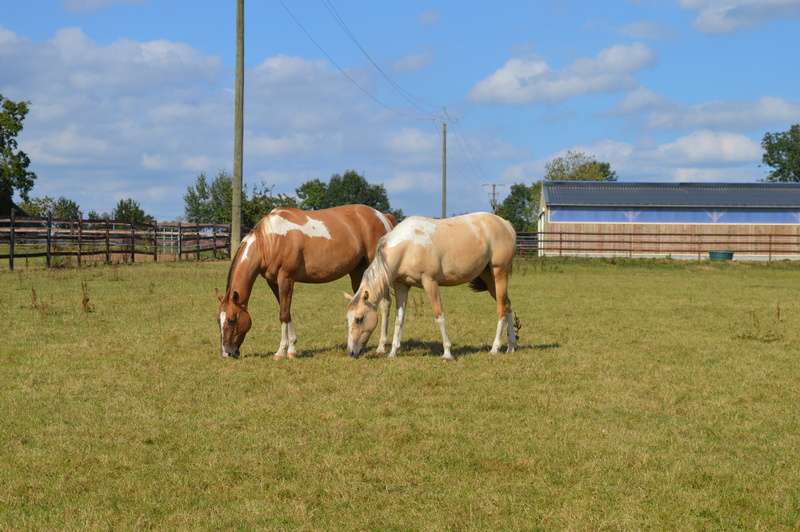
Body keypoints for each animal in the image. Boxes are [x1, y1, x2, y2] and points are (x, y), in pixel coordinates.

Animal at [216, 204, 396, 358]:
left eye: (232, 320)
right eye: (218, 320)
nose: (227, 353)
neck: (268, 240)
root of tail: (382, 216)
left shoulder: (286, 279)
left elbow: (283, 314)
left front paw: (281, 351)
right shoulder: (274, 283)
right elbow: (286, 312)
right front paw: (292, 349)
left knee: (385, 303)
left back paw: (381, 347)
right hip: (358, 271)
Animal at [346, 212, 520, 362]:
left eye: (359, 319)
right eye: (348, 319)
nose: (351, 352)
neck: (408, 246)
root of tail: (506, 224)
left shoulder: (430, 283)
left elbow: (439, 317)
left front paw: (447, 353)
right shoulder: (401, 286)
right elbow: (399, 319)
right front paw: (392, 352)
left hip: (499, 273)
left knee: (501, 309)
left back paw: (495, 348)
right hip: (489, 278)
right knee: (507, 304)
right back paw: (511, 346)